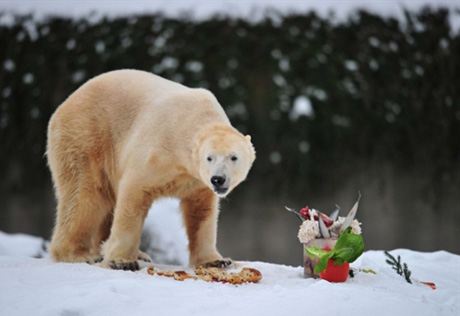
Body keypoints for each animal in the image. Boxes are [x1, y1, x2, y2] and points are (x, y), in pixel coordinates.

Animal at [46, 70, 255, 270]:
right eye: (209, 157)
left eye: (233, 157)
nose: (218, 179)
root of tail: (67, 102)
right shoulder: (158, 151)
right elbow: (133, 194)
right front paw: (121, 261)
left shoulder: (197, 182)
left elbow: (201, 212)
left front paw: (216, 261)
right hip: (87, 136)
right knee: (84, 196)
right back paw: (78, 255)